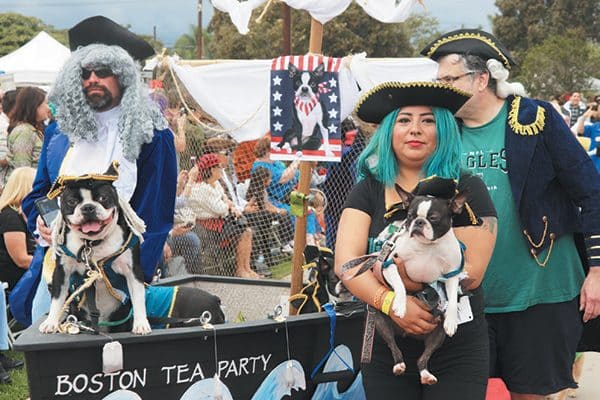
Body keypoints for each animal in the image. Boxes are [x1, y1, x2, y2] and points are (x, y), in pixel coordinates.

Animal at [38, 164, 225, 336]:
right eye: (71, 202)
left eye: (103, 198)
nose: (88, 207)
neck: (93, 244)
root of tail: (215, 300)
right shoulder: (62, 272)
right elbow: (57, 298)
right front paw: (51, 322)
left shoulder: (133, 271)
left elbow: (138, 298)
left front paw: (141, 324)